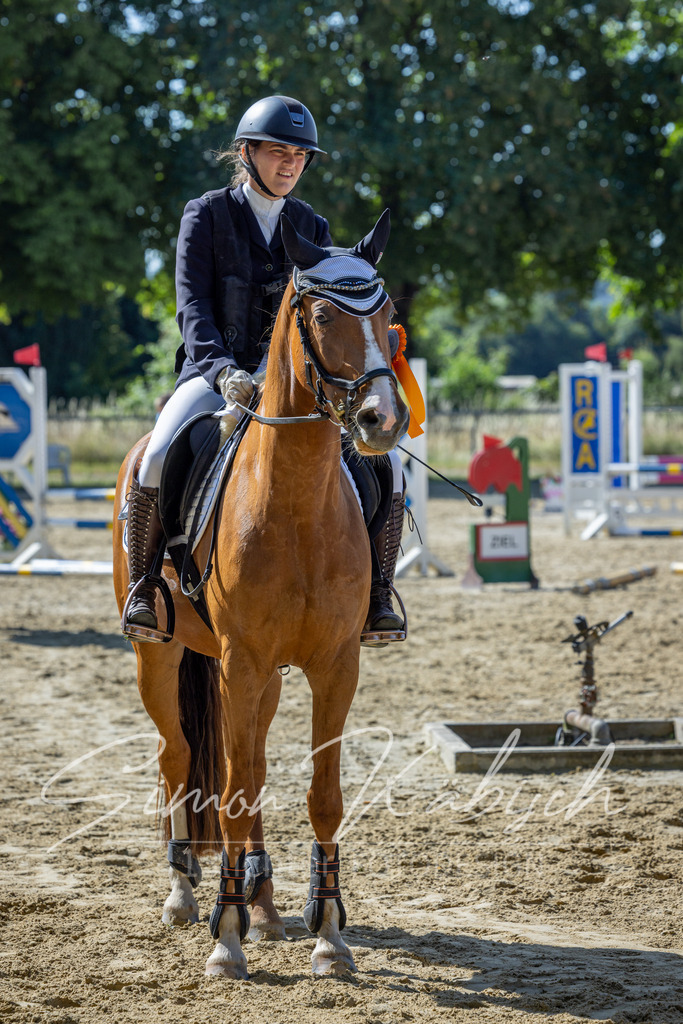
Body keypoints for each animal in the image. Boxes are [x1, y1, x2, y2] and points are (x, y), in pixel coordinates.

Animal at [112, 210, 409, 979]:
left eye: (387, 315)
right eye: (324, 314)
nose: (383, 421)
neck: (297, 502)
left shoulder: (335, 665)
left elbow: (320, 795)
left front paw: (328, 933)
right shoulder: (237, 662)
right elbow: (233, 793)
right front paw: (225, 938)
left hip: (265, 675)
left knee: (251, 765)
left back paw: (267, 905)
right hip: (163, 657)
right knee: (181, 757)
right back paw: (188, 894)